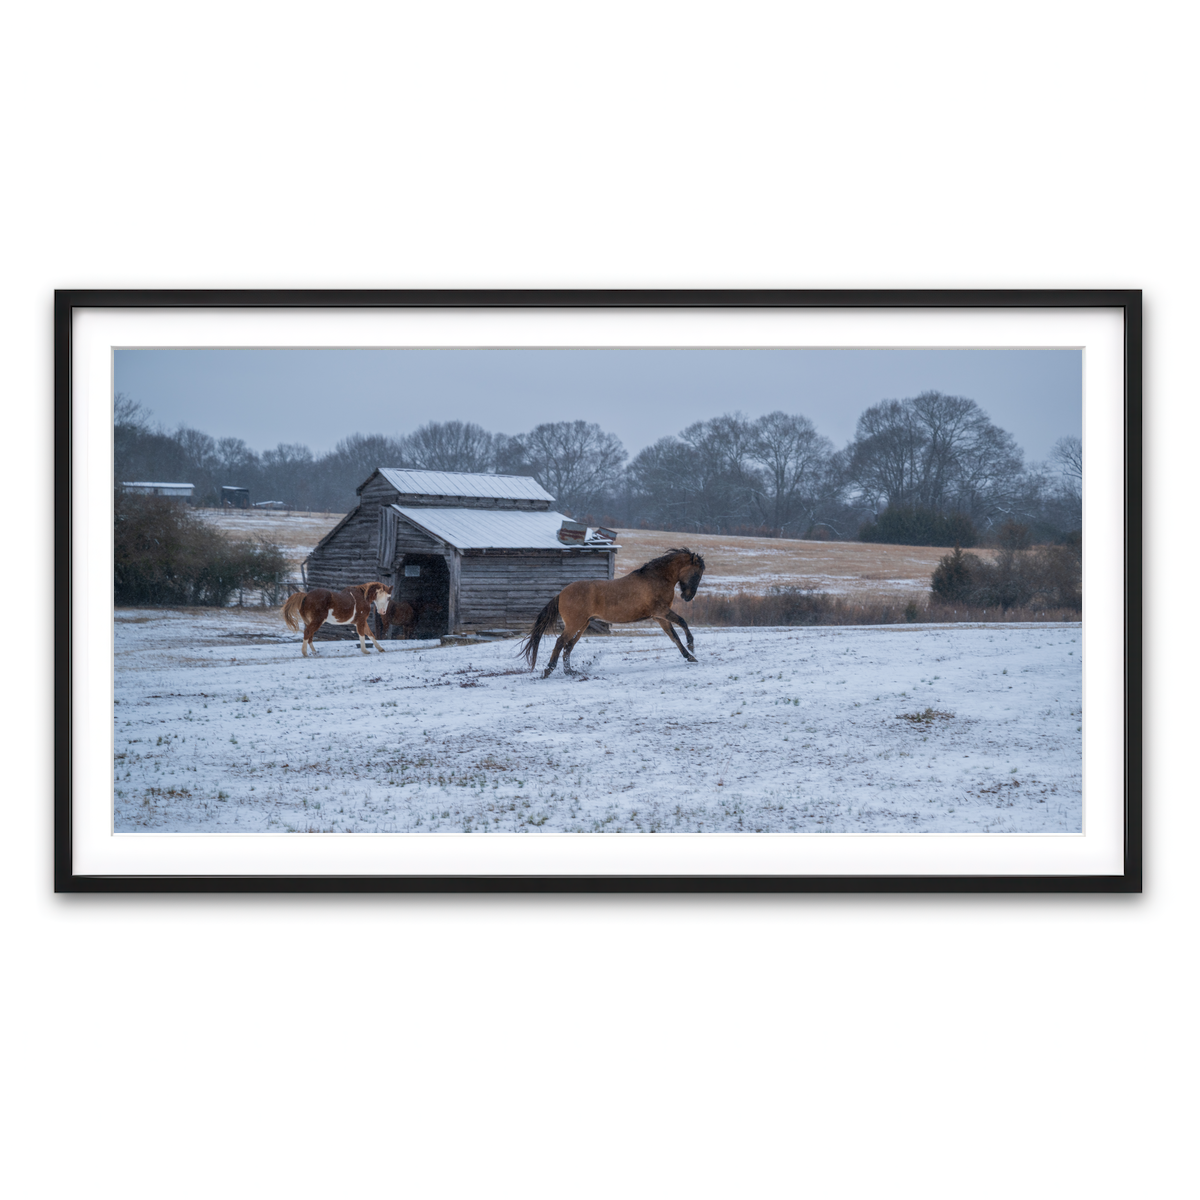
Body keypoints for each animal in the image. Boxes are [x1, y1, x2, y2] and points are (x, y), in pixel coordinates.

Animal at [520, 548, 705, 678]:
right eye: (697, 574)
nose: (688, 597)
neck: (656, 578)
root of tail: (561, 594)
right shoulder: (661, 611)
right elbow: (682, 622)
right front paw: (691, 646)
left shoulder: (659, 617)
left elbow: (674, 636)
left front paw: (689, 656)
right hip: (575, 624)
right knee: (560, 642)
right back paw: (548, 670)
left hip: (583, 624)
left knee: (568, 645)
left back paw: (570, 671)